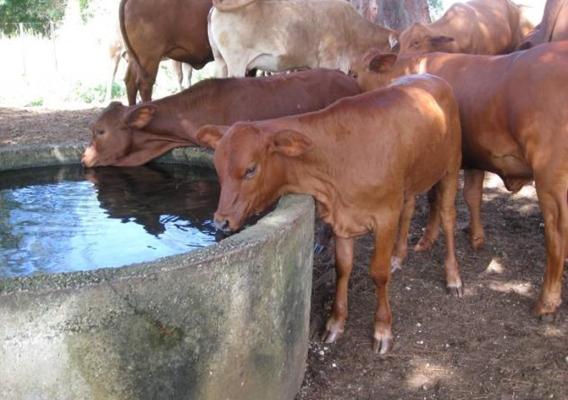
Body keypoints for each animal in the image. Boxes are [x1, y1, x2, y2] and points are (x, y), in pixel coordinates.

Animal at [194, 73, 462, 352]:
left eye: (250, 169)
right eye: (217, 168)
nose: (221, 222)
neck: (336, 160)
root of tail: (433, 77)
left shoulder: (385, 216)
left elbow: (378, 273)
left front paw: (382, 329)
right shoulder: (342, 218)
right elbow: (342, 268)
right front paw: (335, 323)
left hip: (451, 166)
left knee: (448, 216)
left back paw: (453, 277)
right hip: (410, 182)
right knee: (409, 209)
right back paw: (398, 257)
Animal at [350, 42, 568, 318]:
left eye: (353, 73)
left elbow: (435, 199)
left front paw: (426, 240)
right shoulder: (472, 159)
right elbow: (472, 196)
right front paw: (476, 238)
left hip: (549, 175)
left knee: (557, 232)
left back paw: (546, 301)